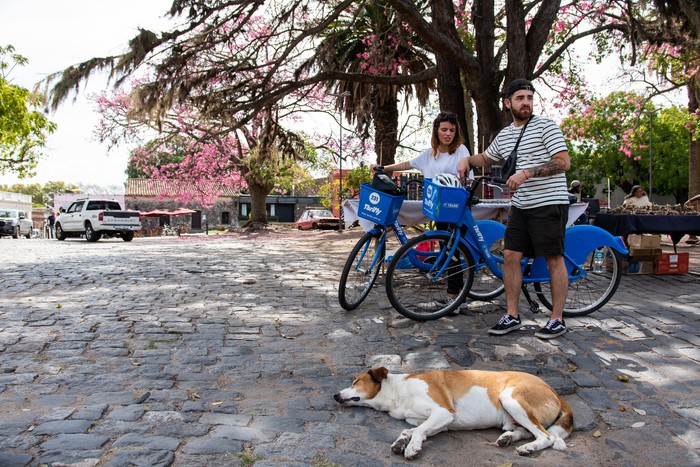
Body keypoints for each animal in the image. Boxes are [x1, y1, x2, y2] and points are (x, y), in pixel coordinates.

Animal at [334, 368, 576, 458]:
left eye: (356, 382)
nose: (335, 395)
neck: (397, 392)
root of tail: (554, 391)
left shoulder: (444, 412)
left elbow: (418, 431)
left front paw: (411, 447)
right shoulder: (439, 423)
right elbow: (412, 430)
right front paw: (402, 441)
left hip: (511, 398)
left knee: (546, 436)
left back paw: (529, 448)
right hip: (513, 416)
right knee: (527, 431)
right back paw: (509, 439)